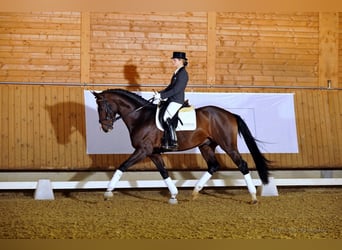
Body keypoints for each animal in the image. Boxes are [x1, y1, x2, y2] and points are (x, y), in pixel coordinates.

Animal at [93, 89, 270, 204]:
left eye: (102, 107)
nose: (106, 128)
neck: (140, 117)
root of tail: (230, 114)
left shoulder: (143, 150)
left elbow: (122, 166)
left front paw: (108, 192)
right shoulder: (153, 153)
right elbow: (164, 172)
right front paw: (173, 195)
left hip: (227, 145)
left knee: (242, 165)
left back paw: (253, 197)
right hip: (206, 146)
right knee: (213, 166)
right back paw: (195, 192)